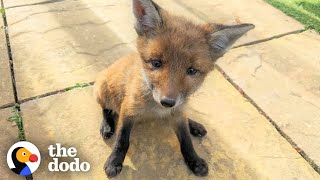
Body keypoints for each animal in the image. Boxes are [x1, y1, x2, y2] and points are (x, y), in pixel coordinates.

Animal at [94, 0, 254, 177]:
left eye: (192, 71)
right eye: (156, 63)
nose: (167, 102)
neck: (156, 110)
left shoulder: (178, 114)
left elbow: (186, 140)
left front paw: (194, 160)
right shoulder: (128, 109)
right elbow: (122, 140)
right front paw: (114, 161)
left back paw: (194, 124)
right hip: (102, 90)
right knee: (106, 109)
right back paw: (107, 125)